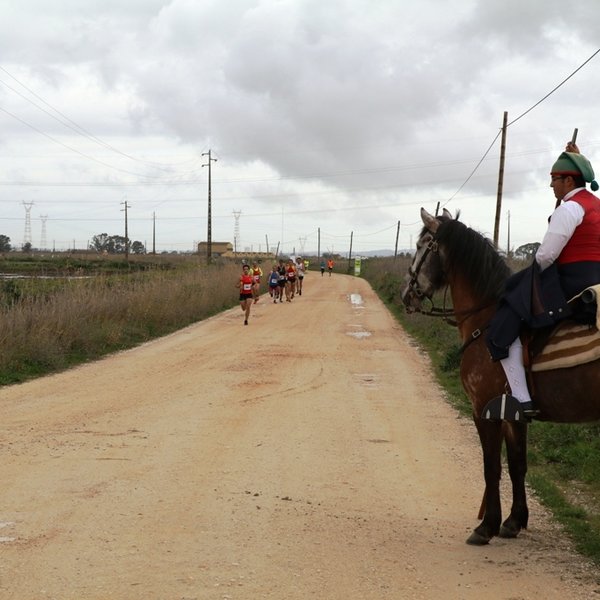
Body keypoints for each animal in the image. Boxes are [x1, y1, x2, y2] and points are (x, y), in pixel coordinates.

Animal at [400, 209, 600, 548]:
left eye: (420, 246)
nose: (406, 295)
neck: (486, 317)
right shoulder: (513, 416)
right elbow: (518, 466)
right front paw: (513, 521)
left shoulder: (483, 411)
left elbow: (491, 467)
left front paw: (486, 526)